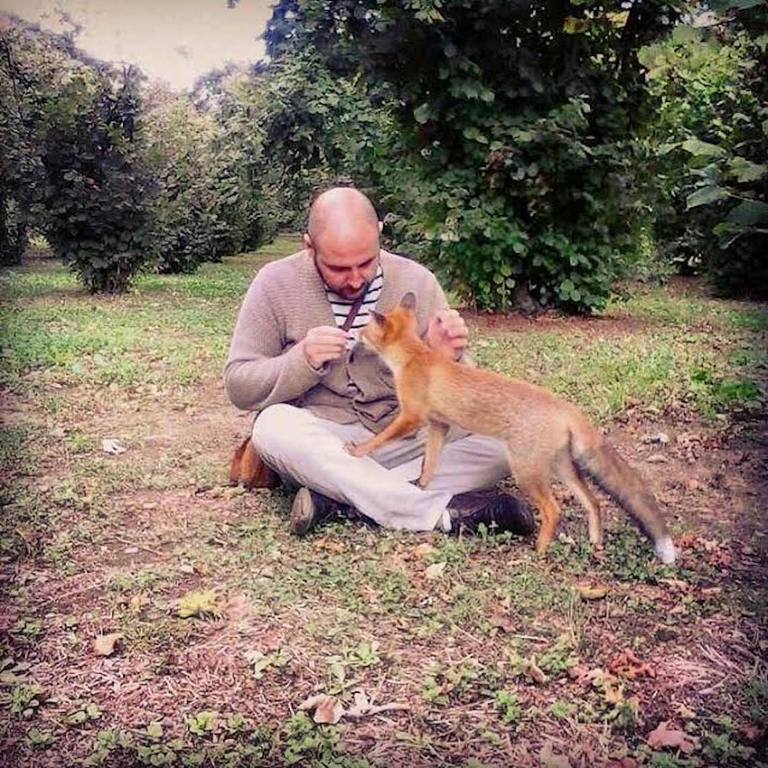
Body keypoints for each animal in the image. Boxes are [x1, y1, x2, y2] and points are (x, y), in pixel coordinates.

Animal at [345, 293, 676, 564]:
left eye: (364, 330)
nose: (353, 336)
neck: (414, 357)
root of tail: (565, 406)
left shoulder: (411, 417)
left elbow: (381, 439)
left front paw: (358, 450)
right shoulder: (439, 425)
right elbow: (429, 463)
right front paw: (423, 487)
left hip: (525, 471)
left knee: (554, 509)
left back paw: (540, 550)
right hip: (561, 468)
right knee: (593, 501)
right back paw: (595, 543)